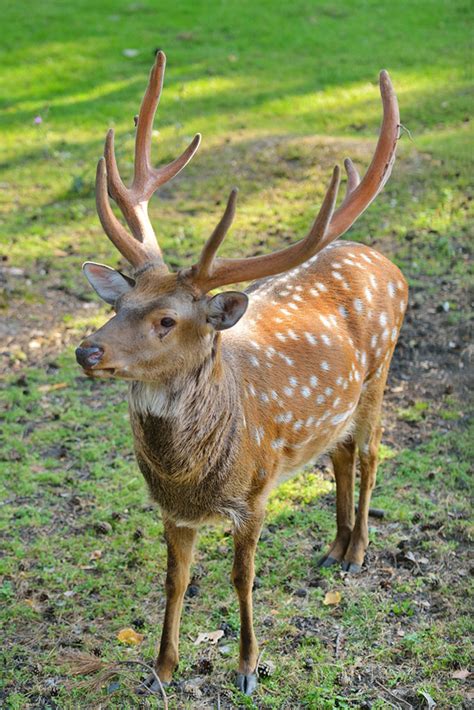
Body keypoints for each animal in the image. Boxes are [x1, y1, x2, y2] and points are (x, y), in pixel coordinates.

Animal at [75, 52, 408, 700]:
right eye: (119, 302)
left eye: (167, 320)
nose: (87, 350)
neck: (191, 477)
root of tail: (386, 262)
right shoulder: (170, 510)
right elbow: (175, 581)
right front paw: (161, 670)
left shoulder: (254, 493)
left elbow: (240, 577)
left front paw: (249, 668)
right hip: (336, 407)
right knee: (340, 452)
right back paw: (333, 547)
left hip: (381, 371)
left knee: (373, 451)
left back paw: (357, 551)